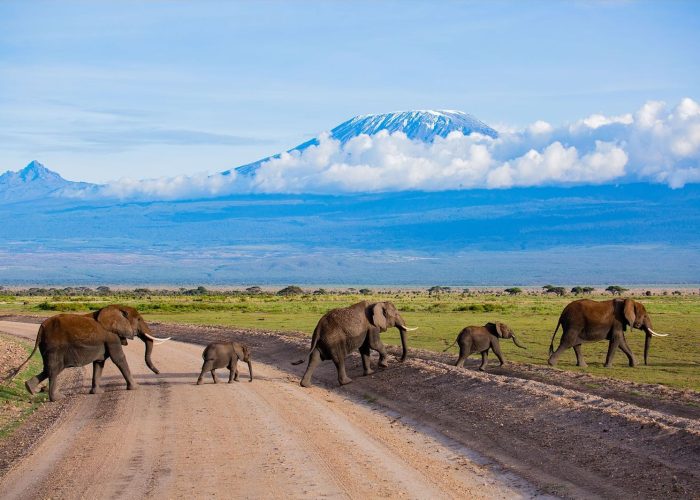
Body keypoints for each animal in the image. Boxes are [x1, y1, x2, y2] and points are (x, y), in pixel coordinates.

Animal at [7, 302, 171, 400]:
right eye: (138, 320)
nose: (158, 373)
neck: (116, 308)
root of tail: (41, 327)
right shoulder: (111, 337)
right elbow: (119, 358)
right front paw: (135, 388)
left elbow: (99, 363)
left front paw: (97, 393)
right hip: (54, 346)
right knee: (53, 369)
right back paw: (57, 398)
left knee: (48, 369)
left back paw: (29, 388)